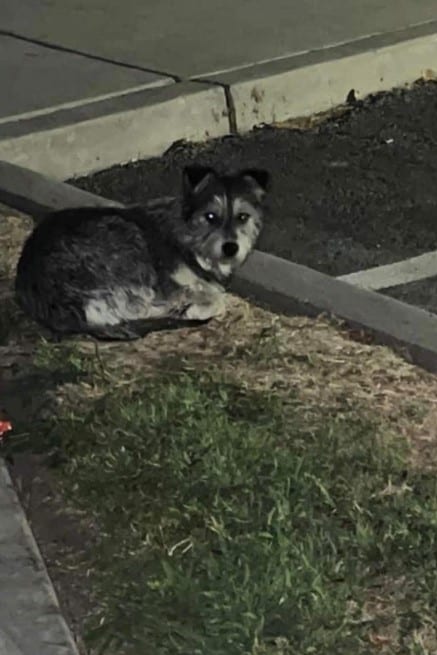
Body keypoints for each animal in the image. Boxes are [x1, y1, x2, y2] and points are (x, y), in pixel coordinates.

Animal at [14, 165, 270, 344]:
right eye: (210, 216)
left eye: (243, 217)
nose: (231, 247)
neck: (189, 237)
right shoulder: (168, 285)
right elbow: (217, 299)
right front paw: (193, 306)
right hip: (127, 243)